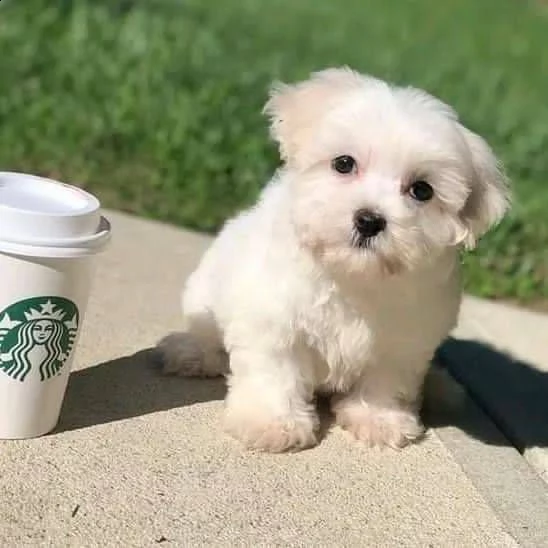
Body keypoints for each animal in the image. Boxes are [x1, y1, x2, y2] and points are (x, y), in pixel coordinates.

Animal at [158, 67, 510, 454]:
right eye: (344, 164)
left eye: (422, 190)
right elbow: (274, 371)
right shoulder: (272, 318)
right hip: (204, 291)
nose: (369, 220)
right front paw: (273, 422)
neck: (352, 274)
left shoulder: (406, 339)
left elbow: (386, 379)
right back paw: (191, 352)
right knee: (206, 331)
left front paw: (378, 419)